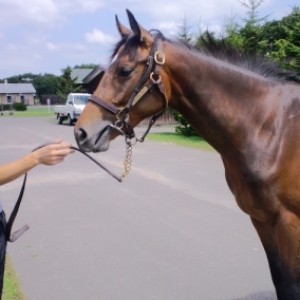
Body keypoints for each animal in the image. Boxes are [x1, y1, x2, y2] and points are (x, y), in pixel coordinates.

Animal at [74, 9, 300, 300]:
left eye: (124, 71)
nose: (81, 133)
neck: (271, 126)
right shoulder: (262, 220)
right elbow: (281, 281)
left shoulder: (288, 224)